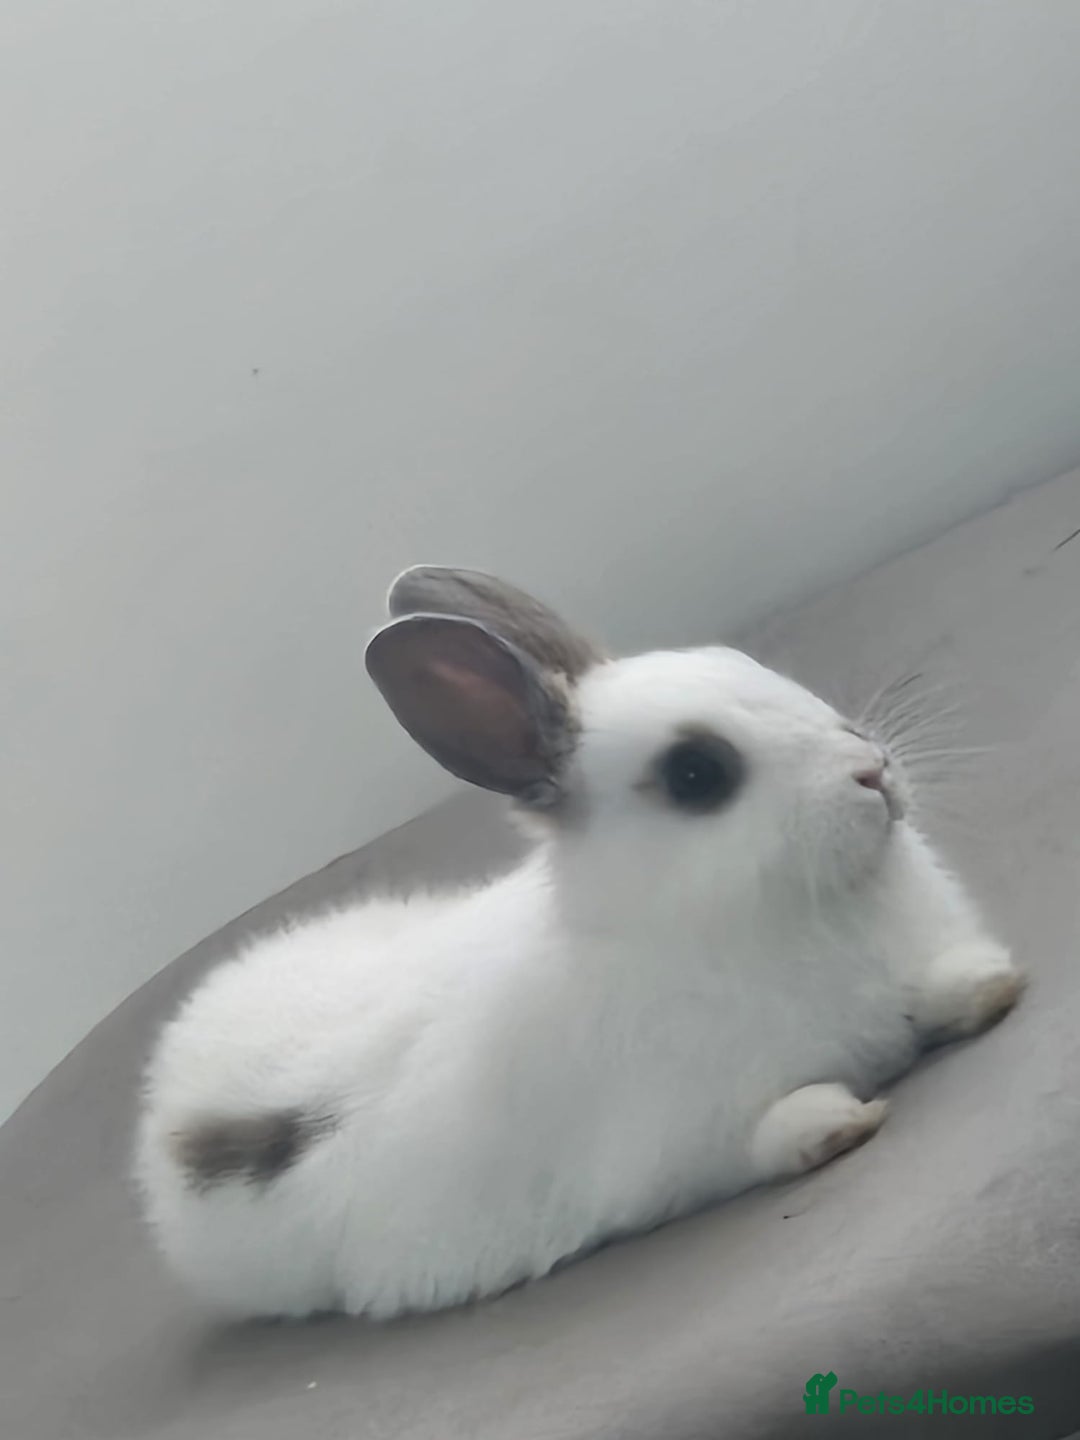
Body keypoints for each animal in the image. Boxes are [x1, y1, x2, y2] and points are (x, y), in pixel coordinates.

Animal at [135, 565, 1025, 1320]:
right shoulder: (672, 1152)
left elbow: (939, 990)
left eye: (745, 664)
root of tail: (170, 1100)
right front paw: (835, 1122)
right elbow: (758, 1138)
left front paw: (990, 985)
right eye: (697, 773)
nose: (872, 770)